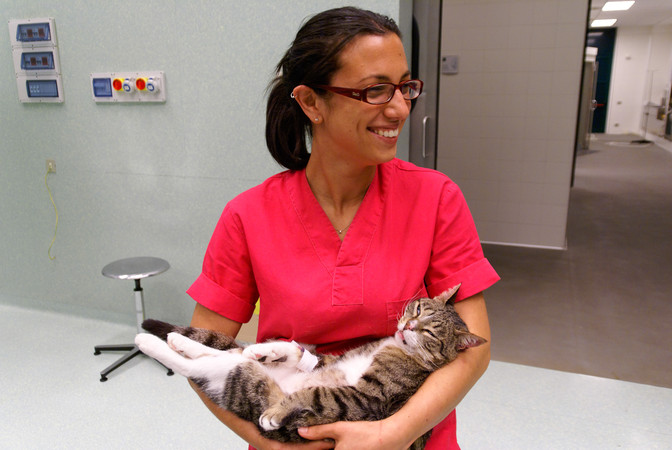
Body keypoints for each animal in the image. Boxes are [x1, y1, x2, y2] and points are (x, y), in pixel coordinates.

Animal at [134, 284, 486, 446]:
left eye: (429, 333)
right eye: (418, 309)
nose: (408, 327)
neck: (397, 347)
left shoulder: (367, 399)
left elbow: (314, 394)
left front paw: (276, 412)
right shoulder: (331, 360)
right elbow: (296, 351)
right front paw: (265, 348)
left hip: (243, 380)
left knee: (200, 366)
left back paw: (152, 343)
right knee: (220, 354)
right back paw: (181, 341)